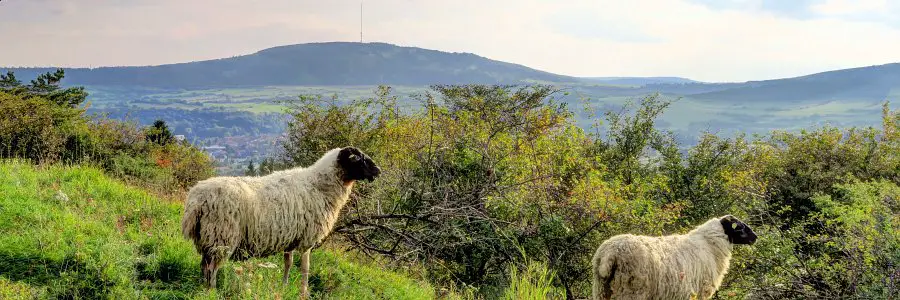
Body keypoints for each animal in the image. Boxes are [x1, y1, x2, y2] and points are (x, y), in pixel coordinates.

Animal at [181, 146, 382, 296]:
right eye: (359, 159)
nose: (378, 171)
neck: (319, 185)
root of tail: (196, 200)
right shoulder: (306, 239)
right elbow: (305, 268)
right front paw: (303, 293)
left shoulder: (290, 238)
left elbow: (288, 263)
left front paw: (284, 287)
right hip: (221, 236)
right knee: (212, 268)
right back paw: (213, 291)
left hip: (207, 238)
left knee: (204, 266)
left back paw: (204, 288)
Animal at [592, 214, 760, 298]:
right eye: (739, 227)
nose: (755, 237)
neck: (710, 244)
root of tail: (609, 254)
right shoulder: (701, 292)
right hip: (631, 290)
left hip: (602, 290)